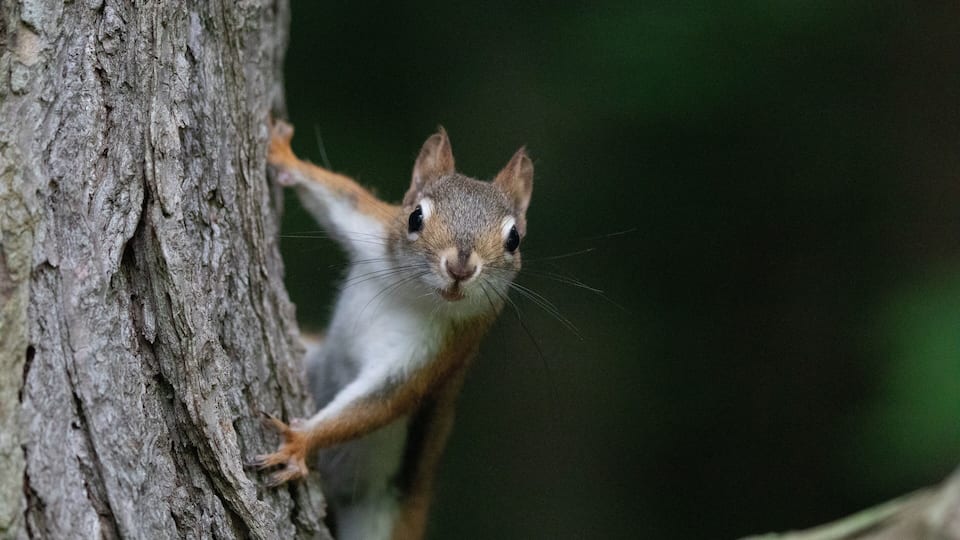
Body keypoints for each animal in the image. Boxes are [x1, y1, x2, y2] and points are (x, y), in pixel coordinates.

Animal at [253, 120, 534, 540]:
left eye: (514, 239)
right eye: (415, 217)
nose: (461, 268)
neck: (415, 293)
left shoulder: (436, 350)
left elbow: (379, 402)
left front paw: (299, 442)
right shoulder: (375, 230)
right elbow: (340, 197)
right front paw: (283, 155)